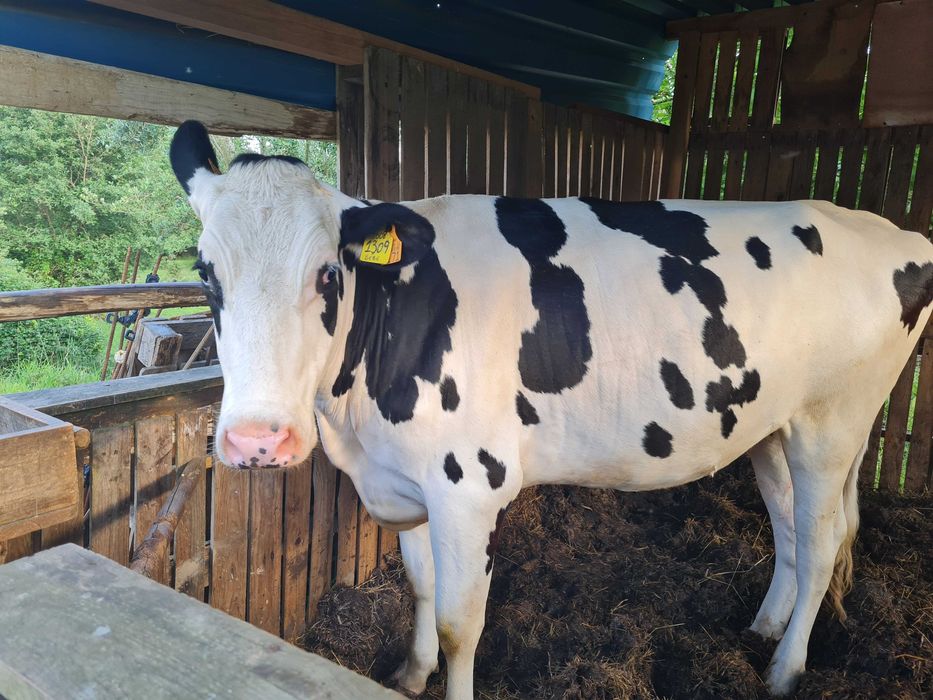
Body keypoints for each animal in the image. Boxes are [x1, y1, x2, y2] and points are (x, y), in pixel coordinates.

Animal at [169, 120, 933, 699]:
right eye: (206, 275)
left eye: (328, 272)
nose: (257, 441)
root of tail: (897, 234)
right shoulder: (407, 478)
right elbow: (419, 584)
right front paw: (410, 673)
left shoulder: (467, 485)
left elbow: (460, 623)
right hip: (771, 426)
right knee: (790, 531)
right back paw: (763, 629)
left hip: (831, 424)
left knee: (824, 540)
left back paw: (783, 670)